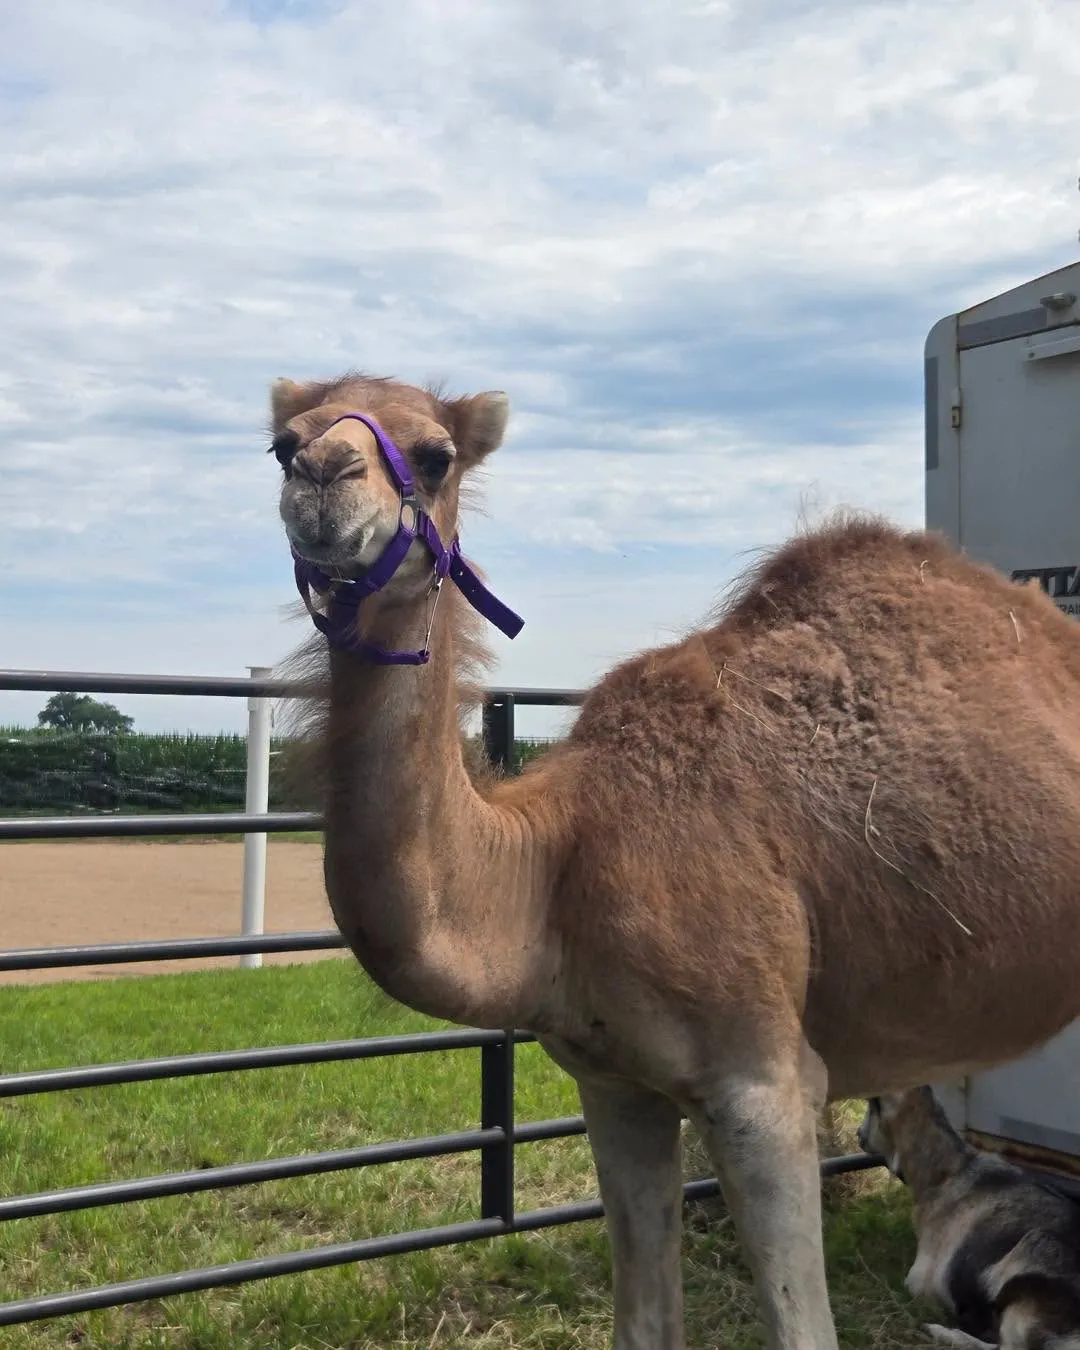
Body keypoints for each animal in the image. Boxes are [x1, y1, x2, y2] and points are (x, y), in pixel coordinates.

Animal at [268, 371, 1080, 1350]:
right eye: (280, 442)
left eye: (434, 456)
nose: (322, 474)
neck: (556, 863)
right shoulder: (613, 1084)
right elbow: (645, 1322)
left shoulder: (764, 1086)